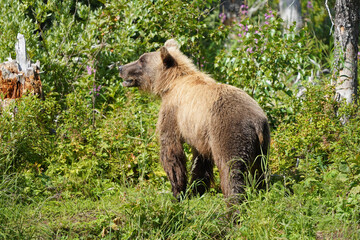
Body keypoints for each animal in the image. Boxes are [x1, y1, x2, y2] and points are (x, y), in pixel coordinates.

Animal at [119, 39, 270, 202]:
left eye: (141, 60)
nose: (121, 68)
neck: (169, 83)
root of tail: (256, 122)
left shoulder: (173, 112)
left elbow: (171, 149)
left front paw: (177, 192)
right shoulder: (200, 131)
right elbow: (200, 160)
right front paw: (197, 189)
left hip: (230, 131)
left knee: (231, 169)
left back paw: (233, 202)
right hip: (262, 143)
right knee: (260, 170)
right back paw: (261, 193)